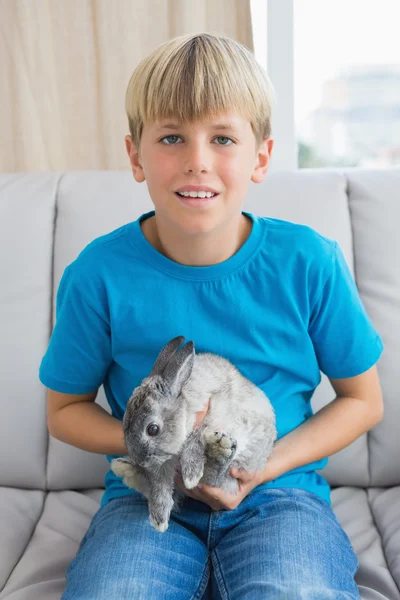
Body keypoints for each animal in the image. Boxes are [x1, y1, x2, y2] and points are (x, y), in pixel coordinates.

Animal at [111, 336, 276, 532]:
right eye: (125, 422)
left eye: (153, 429)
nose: (140, 460)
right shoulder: (161, 465)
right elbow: (160, 486)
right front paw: (159, 519)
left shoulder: (211, 416)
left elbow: (196, 439)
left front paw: (191, 475)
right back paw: (126, 469)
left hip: (247, 451)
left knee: (214, 480)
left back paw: (219, 453)